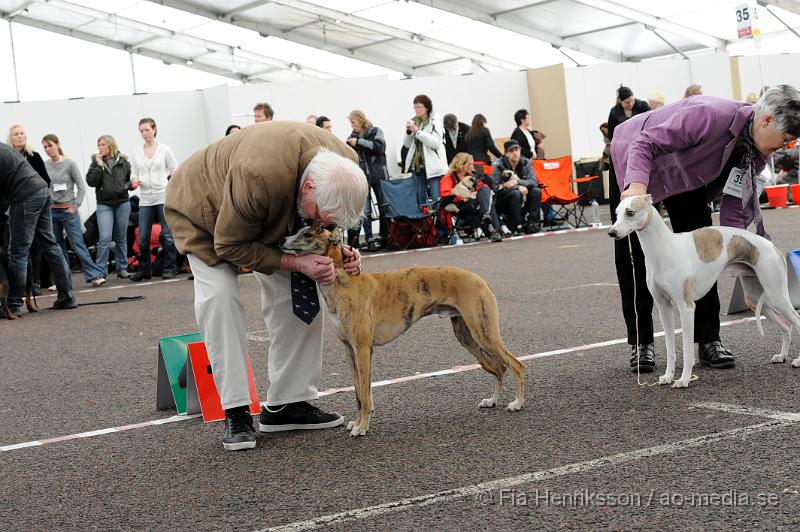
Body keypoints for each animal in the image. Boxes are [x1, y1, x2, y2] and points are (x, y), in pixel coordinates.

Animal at [608, 195, 800, 386]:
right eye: (616, 214)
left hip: (776, 294)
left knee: (796, 320)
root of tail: (772, 246)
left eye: (630, 212)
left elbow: (687, 349)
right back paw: (782, 356)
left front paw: (684, 379)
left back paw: (797, 361)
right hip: (756, 298)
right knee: (786, 327)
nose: (611, 232)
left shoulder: (686, 307)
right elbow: (670, 348)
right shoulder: (664, 307)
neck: (663, 249)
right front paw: (668, 376)